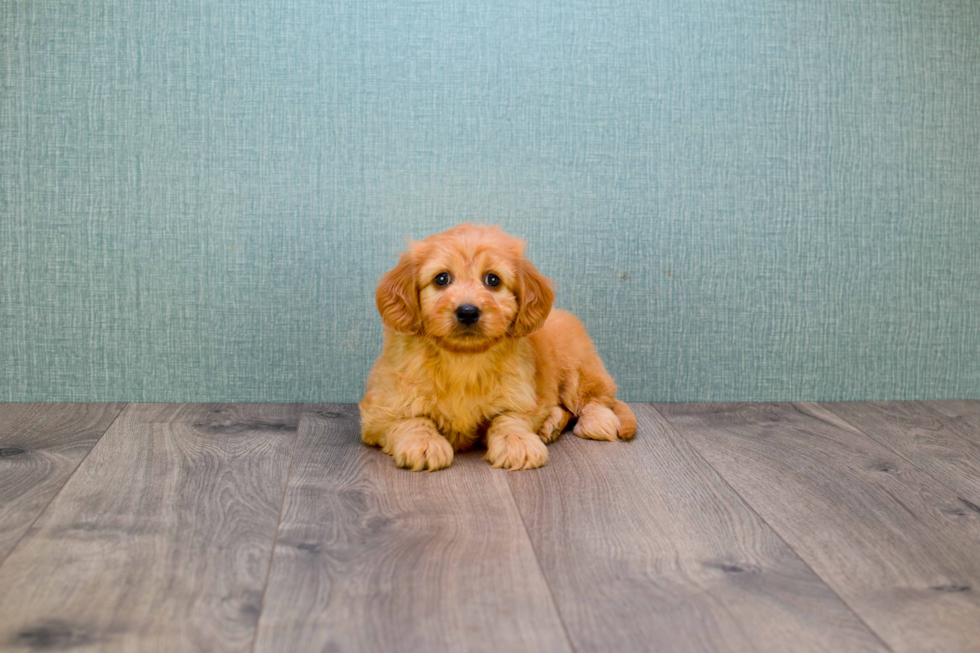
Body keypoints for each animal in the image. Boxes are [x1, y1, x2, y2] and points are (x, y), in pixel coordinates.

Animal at [360, 223, 636, 468]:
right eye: (442, 278)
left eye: (493, 280)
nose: (468, 311)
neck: (463, 357)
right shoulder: (383, 407)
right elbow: (412, 420)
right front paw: (424, 444)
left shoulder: (519, 397)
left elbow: (509, 419)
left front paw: (518, 443)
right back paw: (552, 424)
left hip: (579, 366)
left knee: (596, 399)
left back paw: (595, 422)